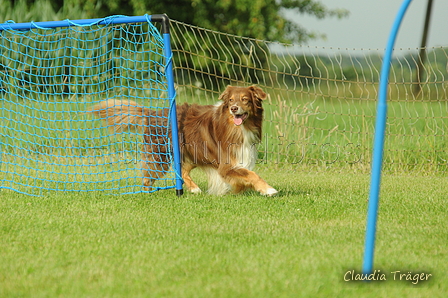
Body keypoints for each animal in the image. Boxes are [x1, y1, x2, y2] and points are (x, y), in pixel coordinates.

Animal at [88, 85, 276, 196]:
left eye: (245, 100)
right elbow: (251, 174)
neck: (239, 128)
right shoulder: (227, 164)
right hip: (161, 155)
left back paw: (194, 188)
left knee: (183, 171)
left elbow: (242, 178)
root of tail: (152, 112)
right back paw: (148, 191)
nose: (234, 108)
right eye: (230, 100)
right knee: (149, 173)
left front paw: (235, 191)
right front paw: (268, 189)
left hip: (193, 152)